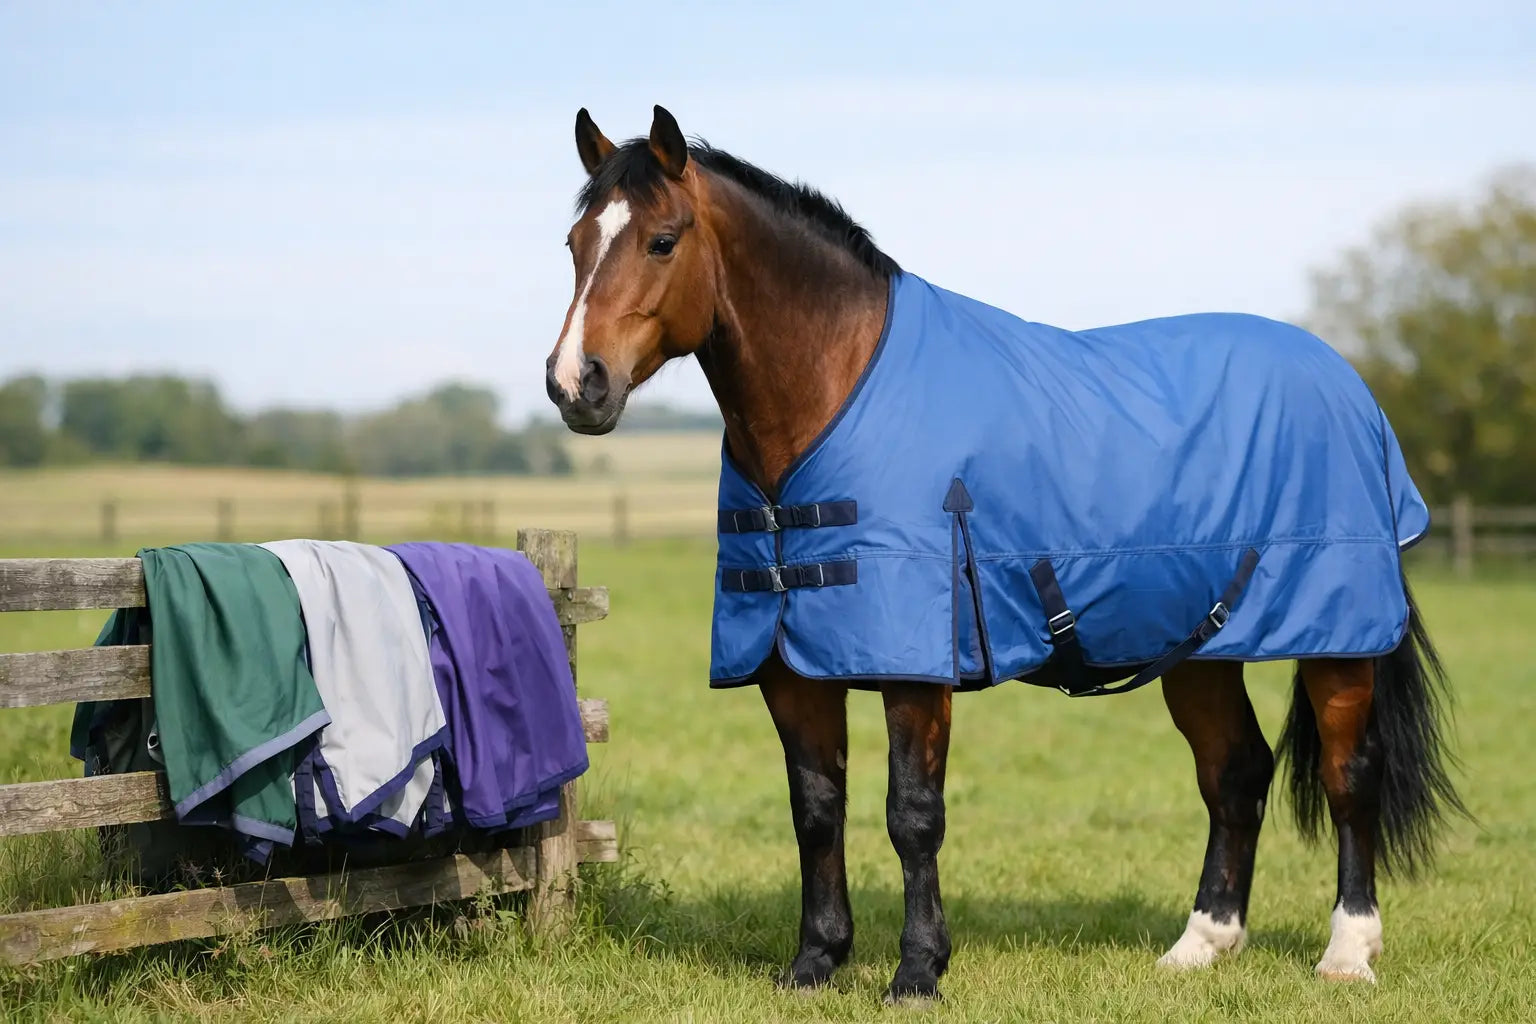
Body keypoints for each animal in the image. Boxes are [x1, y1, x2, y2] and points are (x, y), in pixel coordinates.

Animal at [542, 104, 1467, 1004]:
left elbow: (913, 814)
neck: (831, 396)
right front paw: (814, 963)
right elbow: (817, 810)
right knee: (1235, 773)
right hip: (1202, 649)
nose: (574, 383)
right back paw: (1200, 947)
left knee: (1350, 776)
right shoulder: (791, 667)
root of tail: (1348, 385)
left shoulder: (917, 670)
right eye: (576, 242)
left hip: (1337, 645)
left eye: (663, 240)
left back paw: (1348, 953)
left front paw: (918, 972)